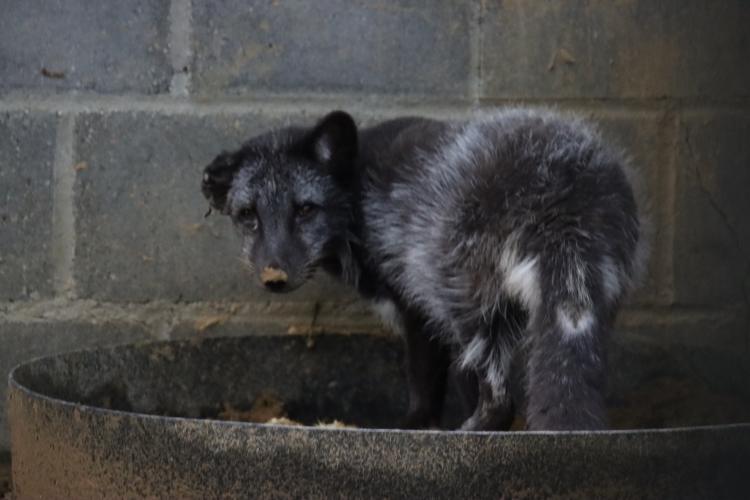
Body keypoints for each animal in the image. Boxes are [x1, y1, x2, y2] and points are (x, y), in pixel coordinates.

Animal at [203, 109, 648, 430]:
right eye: (248, 215)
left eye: (306, 209)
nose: (274, 275)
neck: (359, 193)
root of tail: (566, 184)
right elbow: (461, 385)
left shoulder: (416, 303)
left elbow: (425, 381)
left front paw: (416, 426)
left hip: (469, 303)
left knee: (499, 400)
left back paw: (471, 431)